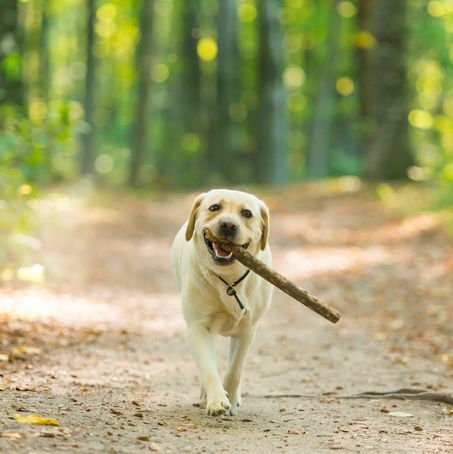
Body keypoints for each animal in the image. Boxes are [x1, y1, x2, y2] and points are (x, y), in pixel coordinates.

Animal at [171, 188, 272, 414]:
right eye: (215, 207)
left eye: (247, 213)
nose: (227, 225)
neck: (229, 280)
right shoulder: (199, 327)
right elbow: (209, 368)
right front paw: (217, 399)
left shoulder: (247, 329)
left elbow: (235, 370)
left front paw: (231, 399)